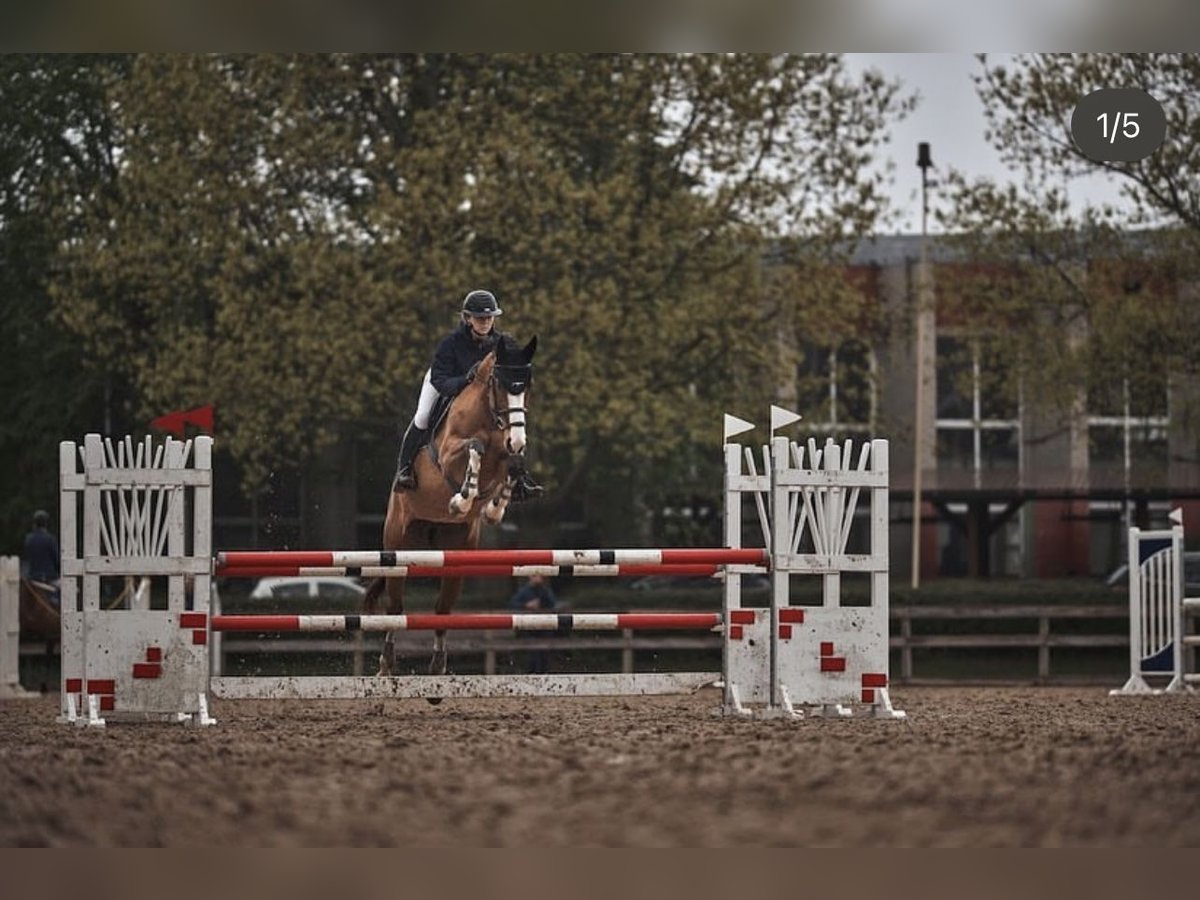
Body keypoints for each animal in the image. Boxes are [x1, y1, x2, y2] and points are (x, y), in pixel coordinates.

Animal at [360, 331, 540, 676]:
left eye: (526, 385)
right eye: (500, 384)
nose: (518, 439)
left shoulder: (506, 453)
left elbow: (512, 464)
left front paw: (495, 508)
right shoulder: (450, 451)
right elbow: (475, 446)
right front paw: (462, 499)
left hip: (456, 556)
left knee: (442, 609)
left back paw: (438, 665)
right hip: (397, 546)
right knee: (395, 608)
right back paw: (386, 665)